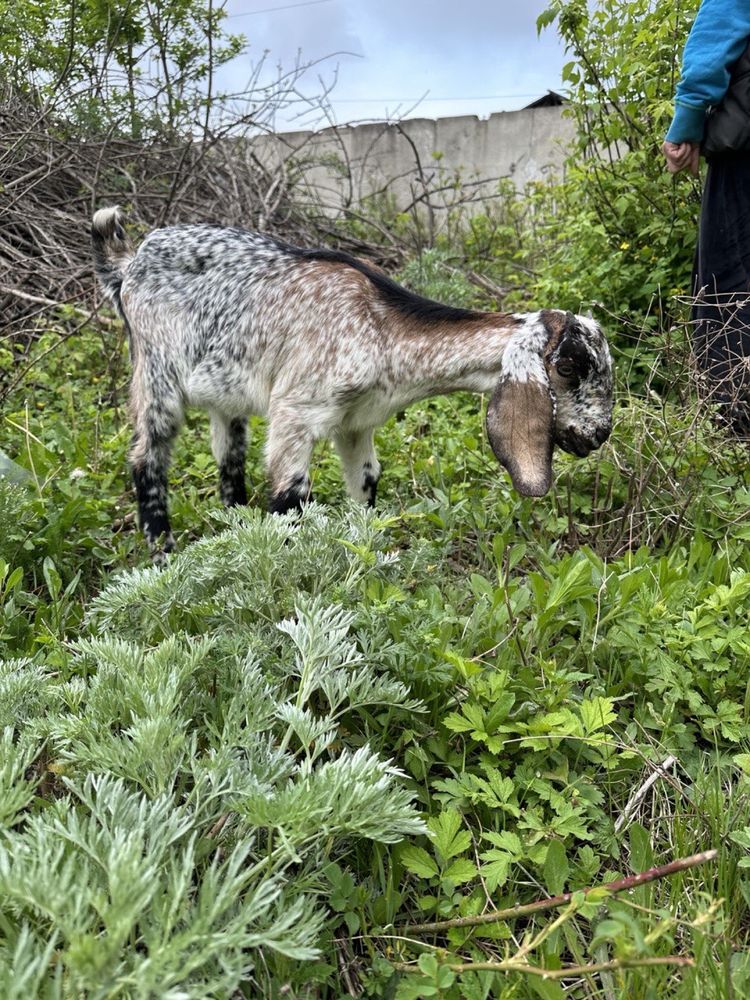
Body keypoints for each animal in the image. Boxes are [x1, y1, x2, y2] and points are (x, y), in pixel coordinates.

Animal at [91, 207, 612, 560]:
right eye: (568, 367)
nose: (599, 433)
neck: (378, 325)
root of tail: (127, 261)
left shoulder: (357, 422)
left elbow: (366, 483)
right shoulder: (295, 413)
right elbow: (290, 499)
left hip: (225, 393)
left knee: (228, 459)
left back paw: (233, 527)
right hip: (156, 372)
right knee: (146, 458)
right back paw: (163, 555)